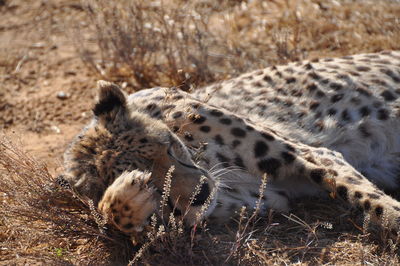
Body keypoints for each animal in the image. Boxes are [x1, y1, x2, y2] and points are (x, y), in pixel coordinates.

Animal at [60, 51, 400, 238]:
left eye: (169, 147)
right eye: (156, 184)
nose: (200, 192)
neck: (205, 159)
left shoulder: (311, 154)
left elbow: (371, 200)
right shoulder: (262, 201)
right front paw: (127, 197)